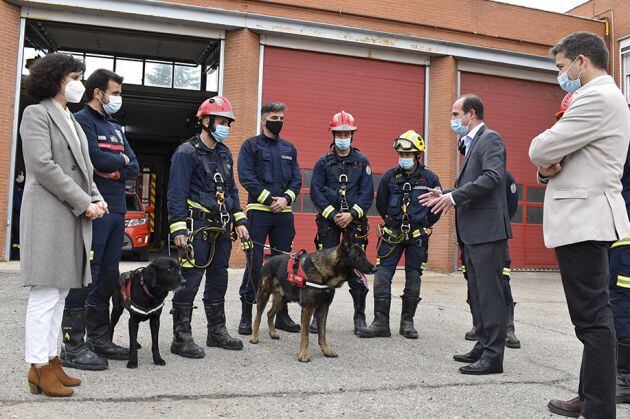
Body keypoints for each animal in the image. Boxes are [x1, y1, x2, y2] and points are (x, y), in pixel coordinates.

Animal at [251, 238, 380, 362]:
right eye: (358, 257)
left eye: (364, 256)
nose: (375, 268)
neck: (323, 272)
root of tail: (269, 260)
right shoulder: (307, 309)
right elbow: (305, 335)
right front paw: (304, 354)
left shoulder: (323, 309)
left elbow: (322, 333)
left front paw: (326, 350)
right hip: (263, 295)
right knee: (258, 317)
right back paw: (254, 337)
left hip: (281, 300)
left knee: (269, 313)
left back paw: (272, 333)